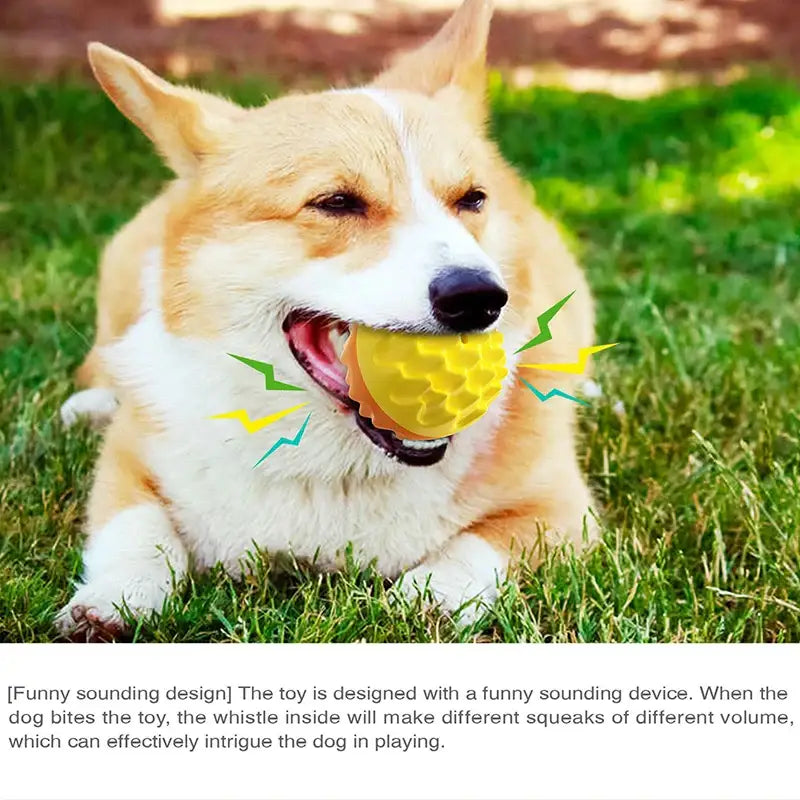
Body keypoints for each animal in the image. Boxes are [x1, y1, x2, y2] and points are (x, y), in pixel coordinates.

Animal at [59, 0, 596, 640]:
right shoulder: (128, 465)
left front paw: (431, 597)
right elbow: (137, 525)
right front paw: (113, 599)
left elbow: (477, 545)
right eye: (337, 203)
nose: (478, 298)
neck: (334, 470)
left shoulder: (562, 512)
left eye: (471, 199)